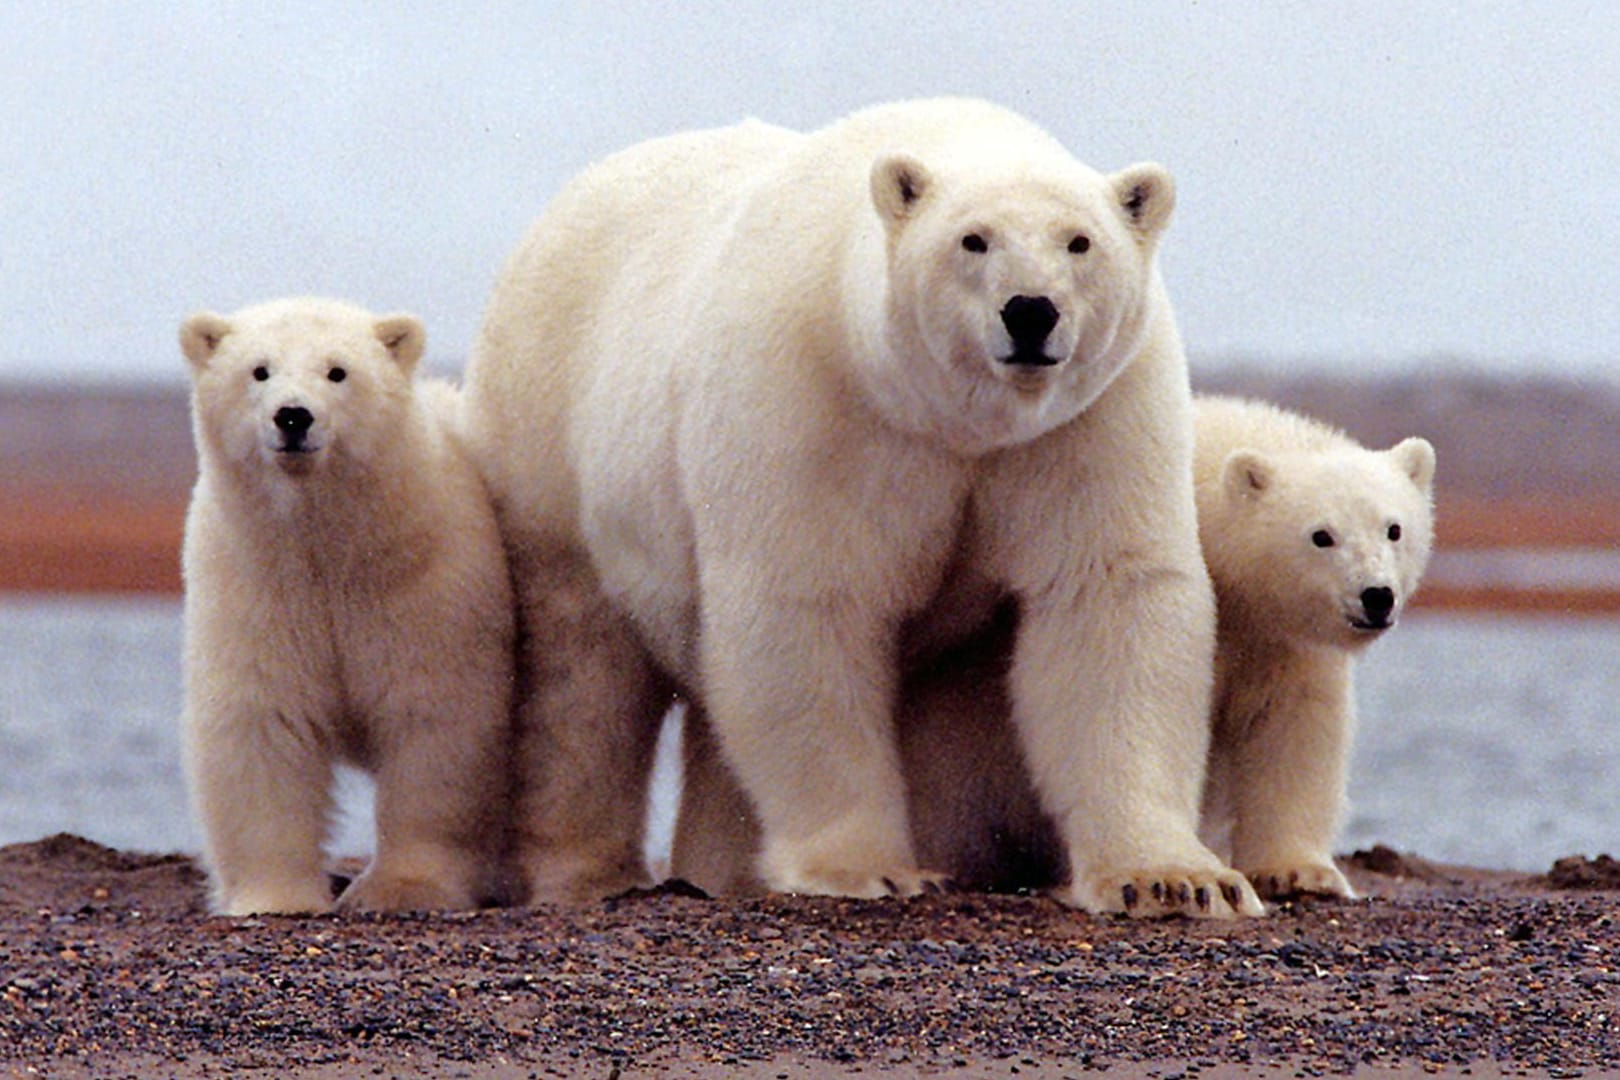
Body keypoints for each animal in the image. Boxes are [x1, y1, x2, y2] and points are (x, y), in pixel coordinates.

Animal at [176, 296, 508, 913]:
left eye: (338, 371)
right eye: (259, 370)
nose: (293, 417)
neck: (330, 548)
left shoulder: (426, 587)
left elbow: (434, 721)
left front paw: (403, 888)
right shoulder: (256, 586)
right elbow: (262, 723)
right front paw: (275, 897)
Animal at [466, 97, 1263, 919]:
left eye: (1080, 241)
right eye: (973, 239)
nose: (1030, 312)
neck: (951, 421)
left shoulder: (1087, 421)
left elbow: (1107, 598)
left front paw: (1176, 879)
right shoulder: (818, 403)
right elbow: (809, 606)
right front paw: (868, 868)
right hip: (551, 440)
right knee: (582, 674)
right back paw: (587, 872)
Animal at [797, 396, 1432, 906]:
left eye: (1394, 528)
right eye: (1321, 535)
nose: (1376, 595)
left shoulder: (1279, 641)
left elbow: (1293, 730)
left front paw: (1299, 873)